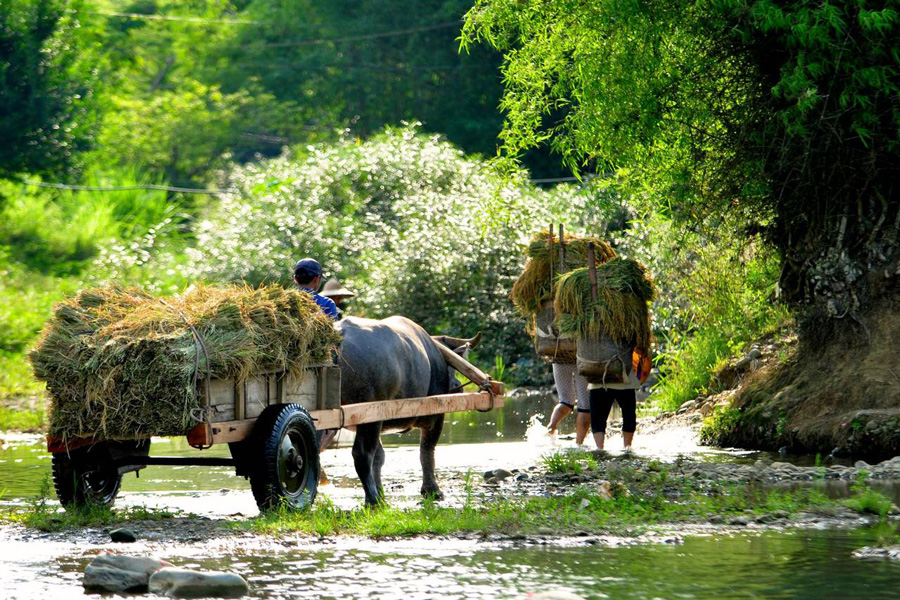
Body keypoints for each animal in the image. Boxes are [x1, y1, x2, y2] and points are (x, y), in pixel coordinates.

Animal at [334, 316, 482, 504]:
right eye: (452, 367)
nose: (458, 386)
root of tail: (340, 335)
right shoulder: (435, 417)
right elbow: (427, 451)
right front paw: (432, 490)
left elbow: (380, 457)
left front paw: (381, 490)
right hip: (370, 418)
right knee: (362, 454)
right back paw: (373, 499)